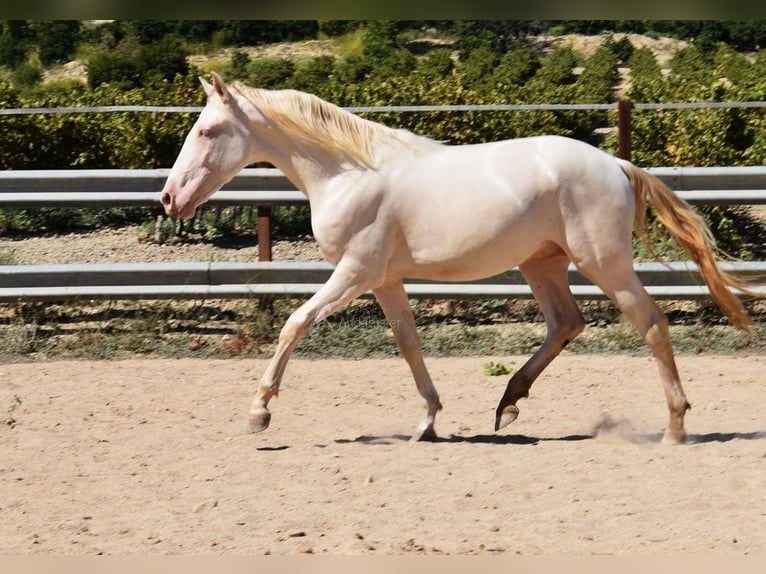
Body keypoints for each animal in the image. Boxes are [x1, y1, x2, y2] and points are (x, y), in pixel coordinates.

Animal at [159, 72, 760, 446]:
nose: (168, 198)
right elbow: (408, 342)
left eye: (207, 130)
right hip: (542, 264)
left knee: (651, 322)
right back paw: (508, 402)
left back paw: (675, 427)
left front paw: (258, 413)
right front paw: (427, 421)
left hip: (603, 263)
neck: (349, 173)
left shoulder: (354, 271)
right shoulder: (384, 279)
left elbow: (294, 322)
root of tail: (615, 164)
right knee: (567, 323)